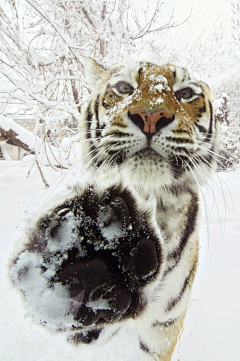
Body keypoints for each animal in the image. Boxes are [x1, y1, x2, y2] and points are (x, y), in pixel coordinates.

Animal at [9, 59, 219, 360]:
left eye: (186, 93)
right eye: (123, 88)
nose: (150, 116)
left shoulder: (163, 326)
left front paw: (107, 248)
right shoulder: (91, 331)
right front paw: (91, 248)